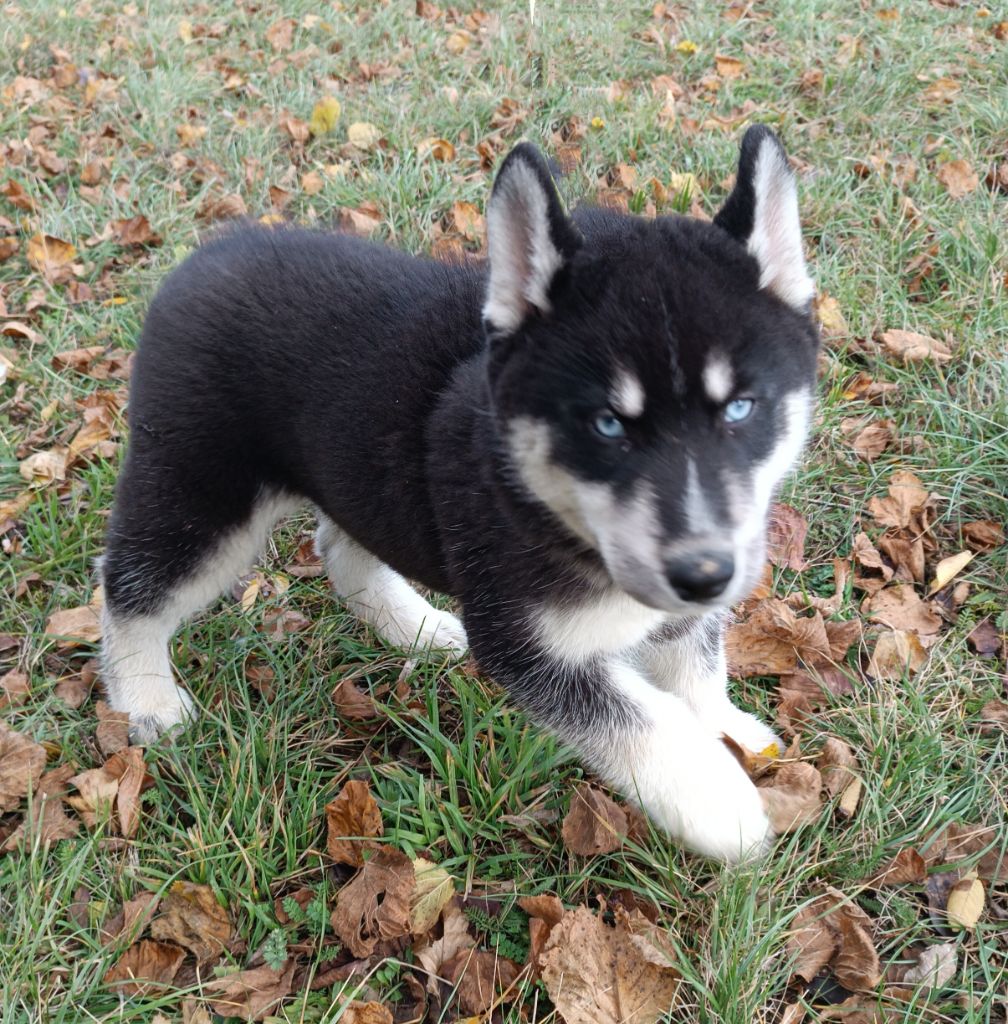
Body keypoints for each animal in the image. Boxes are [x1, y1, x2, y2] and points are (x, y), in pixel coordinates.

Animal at [99, 125, 819, 863]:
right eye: (608, 425)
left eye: (741, 409)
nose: (703, 574)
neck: (551, 509)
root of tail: (208, 252)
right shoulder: (526, 643)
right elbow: (638, 721)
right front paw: (717, 798)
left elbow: (695, 664)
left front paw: (729, 728)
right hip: (204, 497)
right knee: (131, 589)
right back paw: (146, 698)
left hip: (357, 474)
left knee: (341, 547)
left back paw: (412, 625)